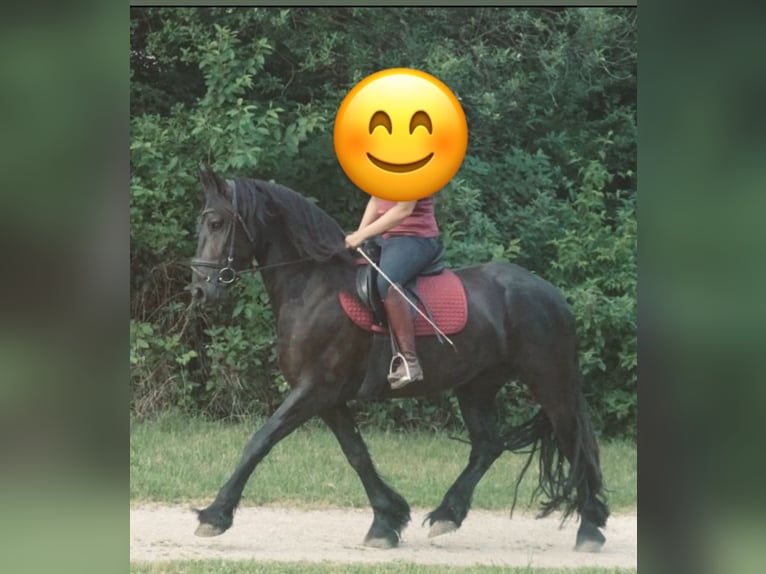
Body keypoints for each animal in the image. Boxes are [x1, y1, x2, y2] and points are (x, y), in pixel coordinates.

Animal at [189, 167, 609, 552]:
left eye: (216, 222)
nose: (199, 291)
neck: (314, 287)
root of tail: (552, 295)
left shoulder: (314, 390)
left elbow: (260, 441)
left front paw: (214, 516)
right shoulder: (327, 398)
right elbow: (357, 454)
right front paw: (386, 520)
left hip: (550, 383)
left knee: (574, 442)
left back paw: (589, 528)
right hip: (477, 386)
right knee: (488, 445)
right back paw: (447, 515)